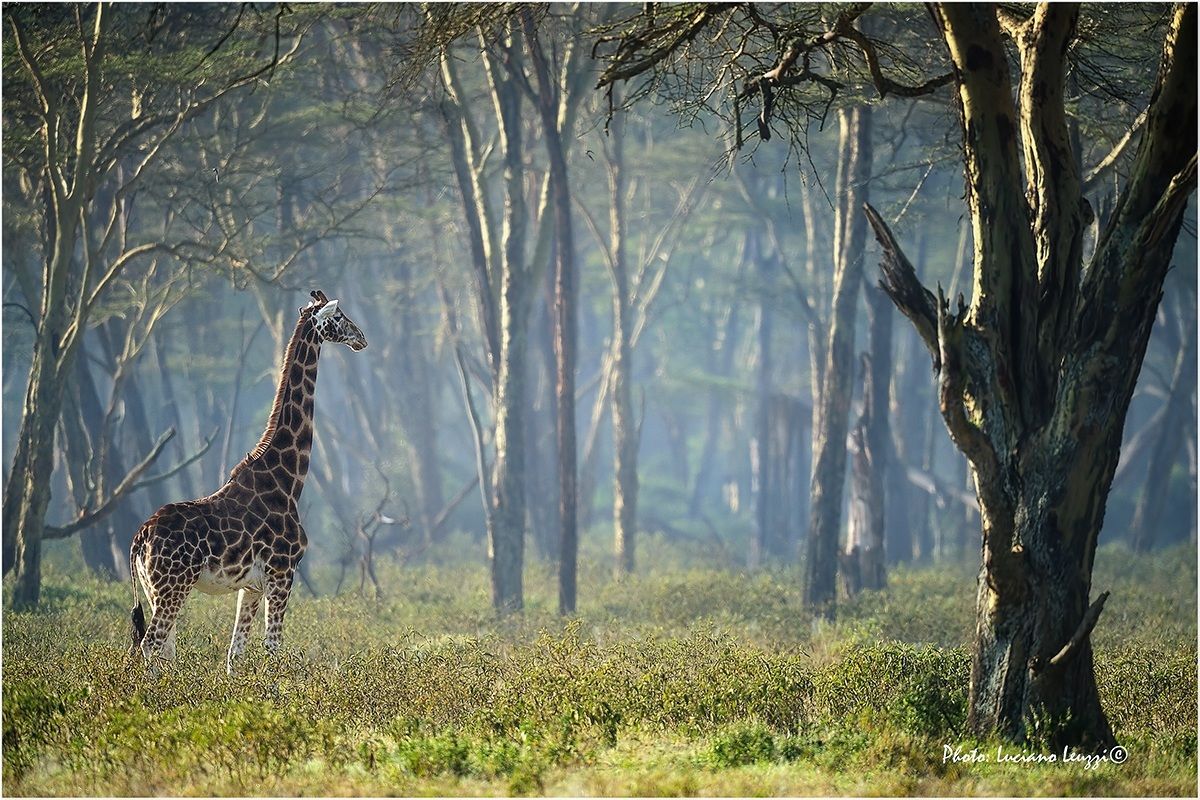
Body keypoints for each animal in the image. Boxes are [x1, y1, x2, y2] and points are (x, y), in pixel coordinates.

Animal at [129, 290, 367, 674]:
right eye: (340, 316)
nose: (361, 337)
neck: (287, 480)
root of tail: (139, 538)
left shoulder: (251, 586)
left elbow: (235, 654)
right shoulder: (282, 572)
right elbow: (273, 647)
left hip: (155, 590)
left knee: (163, 648)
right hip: (173, 586)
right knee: (149, 646)